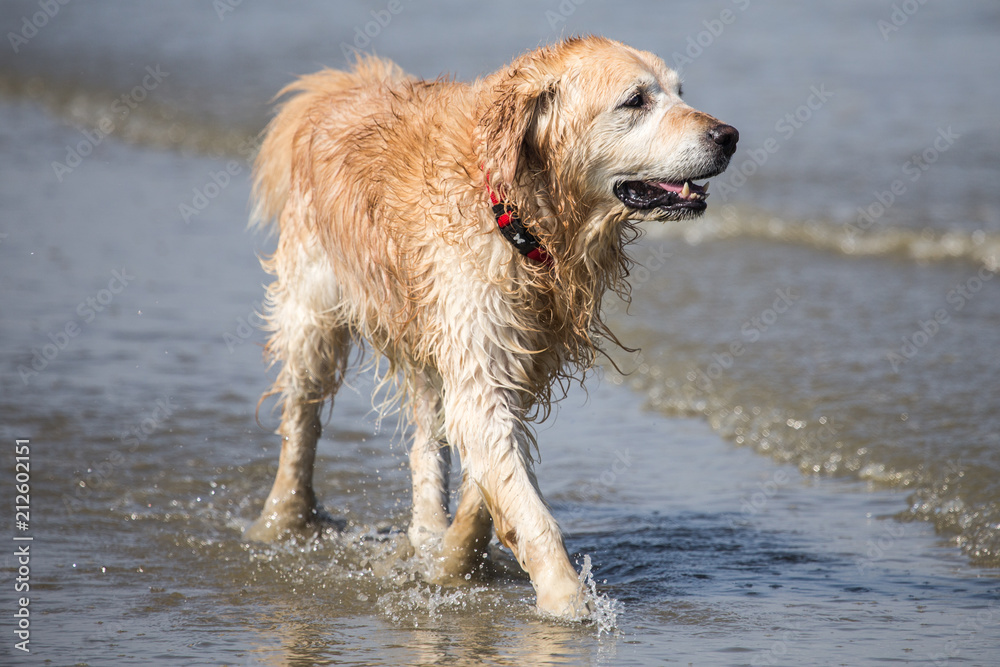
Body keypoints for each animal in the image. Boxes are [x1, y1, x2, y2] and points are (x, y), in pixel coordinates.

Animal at [246, 36, 740, 620]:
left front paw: (455, 562)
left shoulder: (515, 361)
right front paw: (566, 602)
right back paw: (280, 520)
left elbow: (490, 483)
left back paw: (428, 534)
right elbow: (526, 506)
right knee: (300, 422)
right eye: (636, 100)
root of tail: (339, 84)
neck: (519, 214)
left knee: (425, 441)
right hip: (314, 312)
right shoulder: (478, 359)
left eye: (680, 91)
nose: (729, 136)